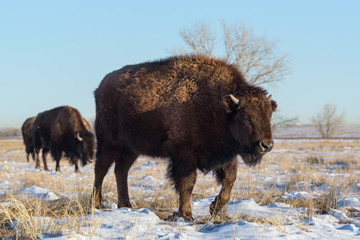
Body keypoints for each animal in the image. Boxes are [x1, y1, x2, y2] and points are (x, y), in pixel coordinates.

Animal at [92, 54, 276, 219]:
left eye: (269, 114)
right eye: (245, 116)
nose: (266, 145)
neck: (220, 107)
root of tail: (100, 87)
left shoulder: (225, 154)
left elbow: (229, 180)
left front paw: (214, 208)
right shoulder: (184, 154)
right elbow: (188, 183)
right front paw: (186, 214)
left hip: (132, 148)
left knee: (121, 169)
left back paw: (126, 205)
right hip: (109, 142)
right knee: (101, 169)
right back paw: (96, 204)